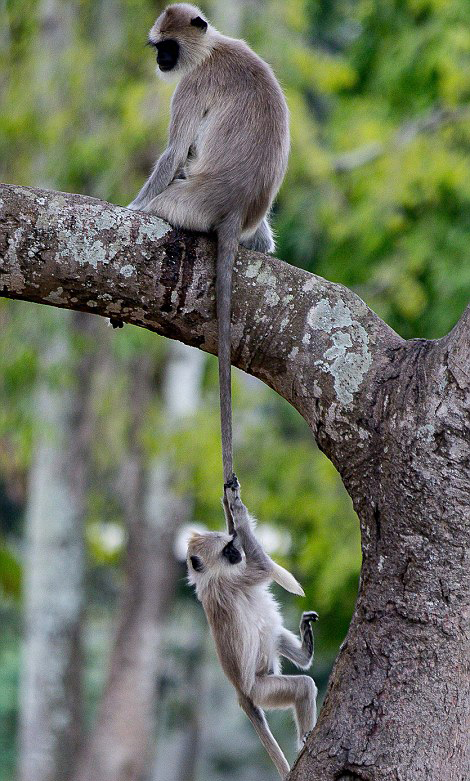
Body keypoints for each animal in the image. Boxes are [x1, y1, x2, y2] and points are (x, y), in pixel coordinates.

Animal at [129, 6, 290, 524]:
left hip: (187, 202)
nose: (160, 61)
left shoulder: (192, 84)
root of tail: (234, 208)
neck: (212, 48)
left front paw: (129, 208)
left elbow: (175, 149)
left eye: (168, 47)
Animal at [187, 478, 320, 776]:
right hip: (263, 690)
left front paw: (229, 502)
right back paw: (305, 738)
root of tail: (241, 692)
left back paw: (305, 650)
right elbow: (264, 566)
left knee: (272, 633)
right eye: (226, 551)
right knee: (303, 685)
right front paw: (238, 510)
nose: (237, 552)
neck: (211, 579)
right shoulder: (232, 580)